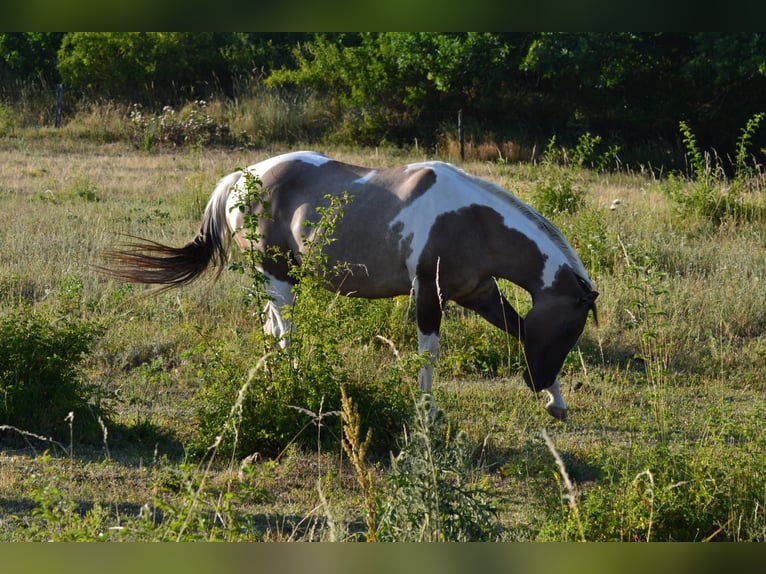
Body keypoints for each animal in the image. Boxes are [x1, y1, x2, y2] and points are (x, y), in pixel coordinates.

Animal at [101, 151, 598, 422]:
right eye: (570, 328)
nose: (536, 380)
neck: (471, 220)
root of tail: (243, 177)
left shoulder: (480, 294)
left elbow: (518, 329)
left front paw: (556, 404)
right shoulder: (428, 294)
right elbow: (429, 352)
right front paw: (427, 411)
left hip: (275, 279)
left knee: (269, 330)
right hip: (277, 275)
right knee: (284, 331)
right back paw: (298, 387)